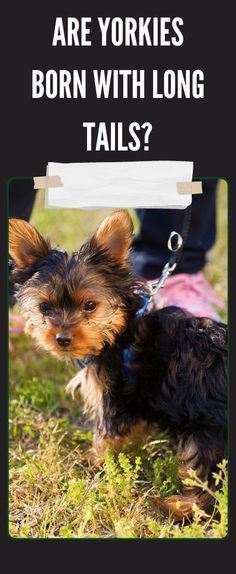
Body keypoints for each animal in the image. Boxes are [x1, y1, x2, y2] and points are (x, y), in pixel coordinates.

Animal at [8, 212, 227, 520]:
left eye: (90, 305)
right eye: (44, 308)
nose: (62, 338)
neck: (120, 330)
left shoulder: (112, 394)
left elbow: (107, 435)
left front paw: (96, 460)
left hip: (210, 433)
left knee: (211, 482)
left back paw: (177, 506)